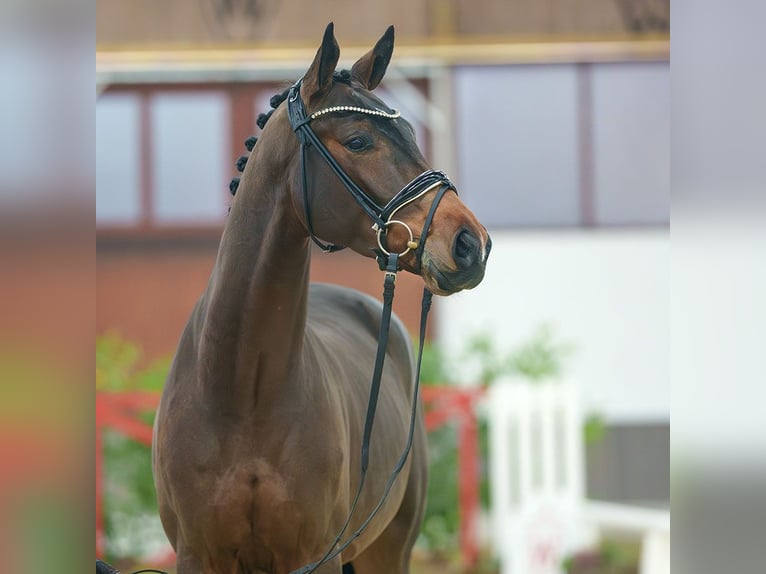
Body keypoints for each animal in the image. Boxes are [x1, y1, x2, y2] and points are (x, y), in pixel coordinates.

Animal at [154, 22, 496, 574]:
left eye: (413, 134)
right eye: (358, 140)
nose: (471, 244)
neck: (241, 389)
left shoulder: (314, 555)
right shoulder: (197, 555)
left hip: (387, 550)